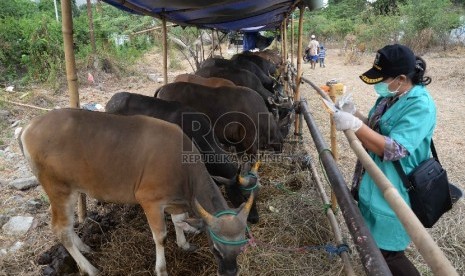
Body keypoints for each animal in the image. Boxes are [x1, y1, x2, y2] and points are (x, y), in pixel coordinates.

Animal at [19, 109, 254, 276]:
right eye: (215, 249)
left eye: (241, 248)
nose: (230, 273)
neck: (182, 169)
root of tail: (28, 127)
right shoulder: (149, 201)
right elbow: (161, 236)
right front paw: (161, 269)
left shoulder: (175, 201)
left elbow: (179, 219)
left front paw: (184, 243)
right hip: (59, 189)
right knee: (60, 229)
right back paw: (90, 268)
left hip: (72, 189)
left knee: (67, 226)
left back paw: (85, 247)